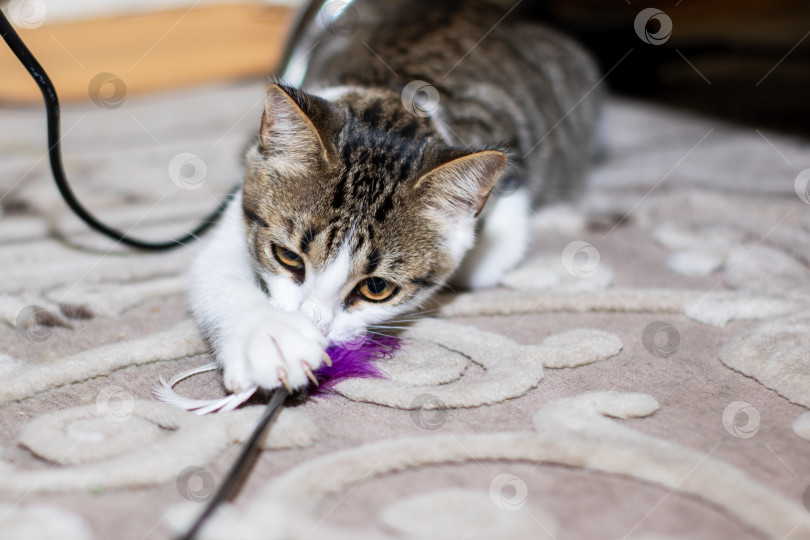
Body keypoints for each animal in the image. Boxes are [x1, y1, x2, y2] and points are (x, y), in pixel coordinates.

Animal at [186, 0, 596, 392]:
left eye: (376, 288)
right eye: (288, 257)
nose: (313, 324)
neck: (390, 94)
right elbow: (215, 267)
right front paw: (271, 340)